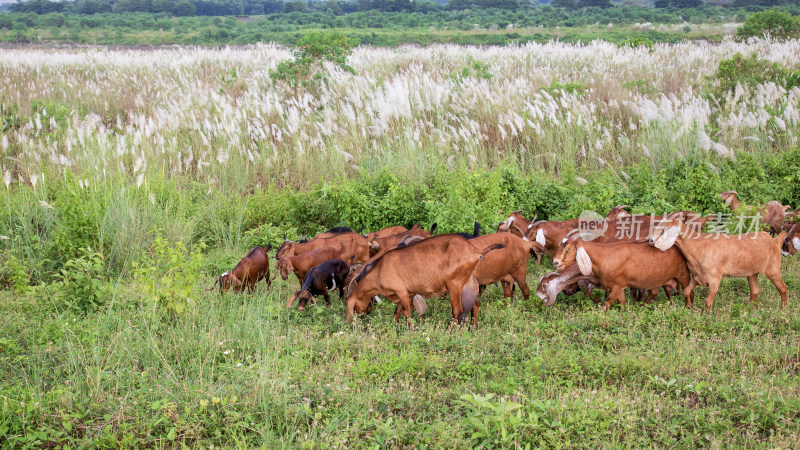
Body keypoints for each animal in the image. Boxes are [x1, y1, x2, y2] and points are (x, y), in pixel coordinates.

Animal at [346, 236, 506, 326]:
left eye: (354, 306)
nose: (363, 315)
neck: (379, 271)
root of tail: (475, 250)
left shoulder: (402, 292)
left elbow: (407, 313)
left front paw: (410, 331)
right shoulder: (404, 295)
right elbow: (397, 313)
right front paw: (393, 329)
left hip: (454, 286)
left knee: (457, 311)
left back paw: (448, 332)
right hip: (469, 284)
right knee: (475, 305)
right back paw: (472, 328)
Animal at [648, 213, 788, 308]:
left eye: (665, 226)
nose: (650, 241)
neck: (698, 245)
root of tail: (775, 241)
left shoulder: (715, 279)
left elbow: (708, 302)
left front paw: (707, 318)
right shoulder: (697, 277)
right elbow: (686, 291)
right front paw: (689, 307)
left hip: (773, 269)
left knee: (783, 287)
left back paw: (783, 308)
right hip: (752, 272)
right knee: (755, 290)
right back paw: (749, 309)